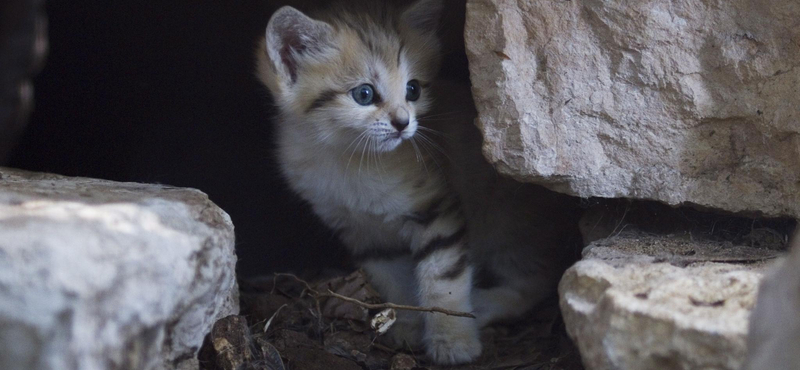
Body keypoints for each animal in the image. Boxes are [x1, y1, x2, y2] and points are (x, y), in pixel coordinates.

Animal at [255, 0, 576, 364]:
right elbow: (395, 282)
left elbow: (442, 283)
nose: (403, 123)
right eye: (364, 94)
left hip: (507, 221)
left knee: (539, 278)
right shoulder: (365, 234)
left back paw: (482, 305)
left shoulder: (436, 212)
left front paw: (453, 340)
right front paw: (406, 325)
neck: (347, 158)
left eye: (413, 89)